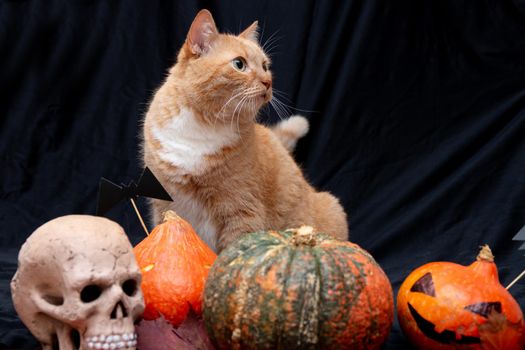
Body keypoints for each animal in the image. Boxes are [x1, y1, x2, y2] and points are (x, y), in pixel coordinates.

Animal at [143, 9, 348, 252]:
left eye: (265, 66)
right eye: (239, 64)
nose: (268, 82)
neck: (204, 124)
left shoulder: (242, 212)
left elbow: (231, 250)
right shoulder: (163, 205)